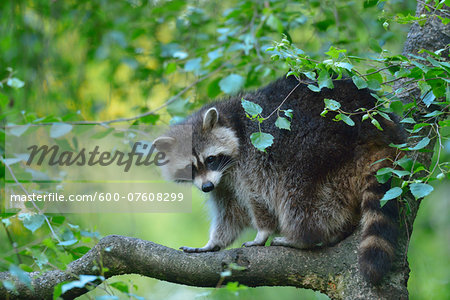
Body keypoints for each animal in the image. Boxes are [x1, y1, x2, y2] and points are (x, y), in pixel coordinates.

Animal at [153, 74, 406, 284]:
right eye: (190, 168)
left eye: (211, 158)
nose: (205, 187)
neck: (231, 121)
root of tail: (375, 129)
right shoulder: (222, 181)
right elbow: (230, 211)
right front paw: (213, 242)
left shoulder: (251, 159)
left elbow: (258, 196)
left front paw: (263, 232)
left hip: (321, 147)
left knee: (297, 193)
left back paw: (304, 237)